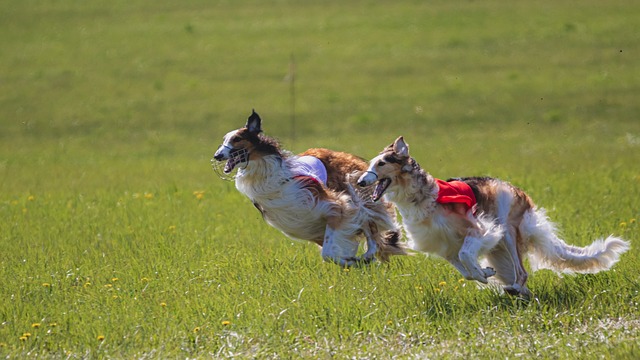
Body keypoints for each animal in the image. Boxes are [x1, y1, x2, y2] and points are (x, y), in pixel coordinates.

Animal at [212, 111, 408, 266]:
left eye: (237, 139)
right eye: (224, 140)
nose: (217, 155)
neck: (268, 178)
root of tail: (343, 154)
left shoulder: (336, 207)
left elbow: (328, 252)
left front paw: (356, 261)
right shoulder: (309, 227)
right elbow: (331, 253)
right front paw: (352, 261)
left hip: (357, 194)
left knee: (370, 223)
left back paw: (369, 254)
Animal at [358, 136, 632, 296]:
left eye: (381, 164)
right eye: (370, 165)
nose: (360, 182)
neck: (422, 198)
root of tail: (522, 195)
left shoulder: (478, 229)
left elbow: (467, 257)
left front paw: (483, 273)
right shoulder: (444, 246)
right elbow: (466, 270)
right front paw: (485, 273)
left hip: (507, 231)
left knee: (522, 273)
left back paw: (515, 288)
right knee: (521, 281)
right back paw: (519, 293)